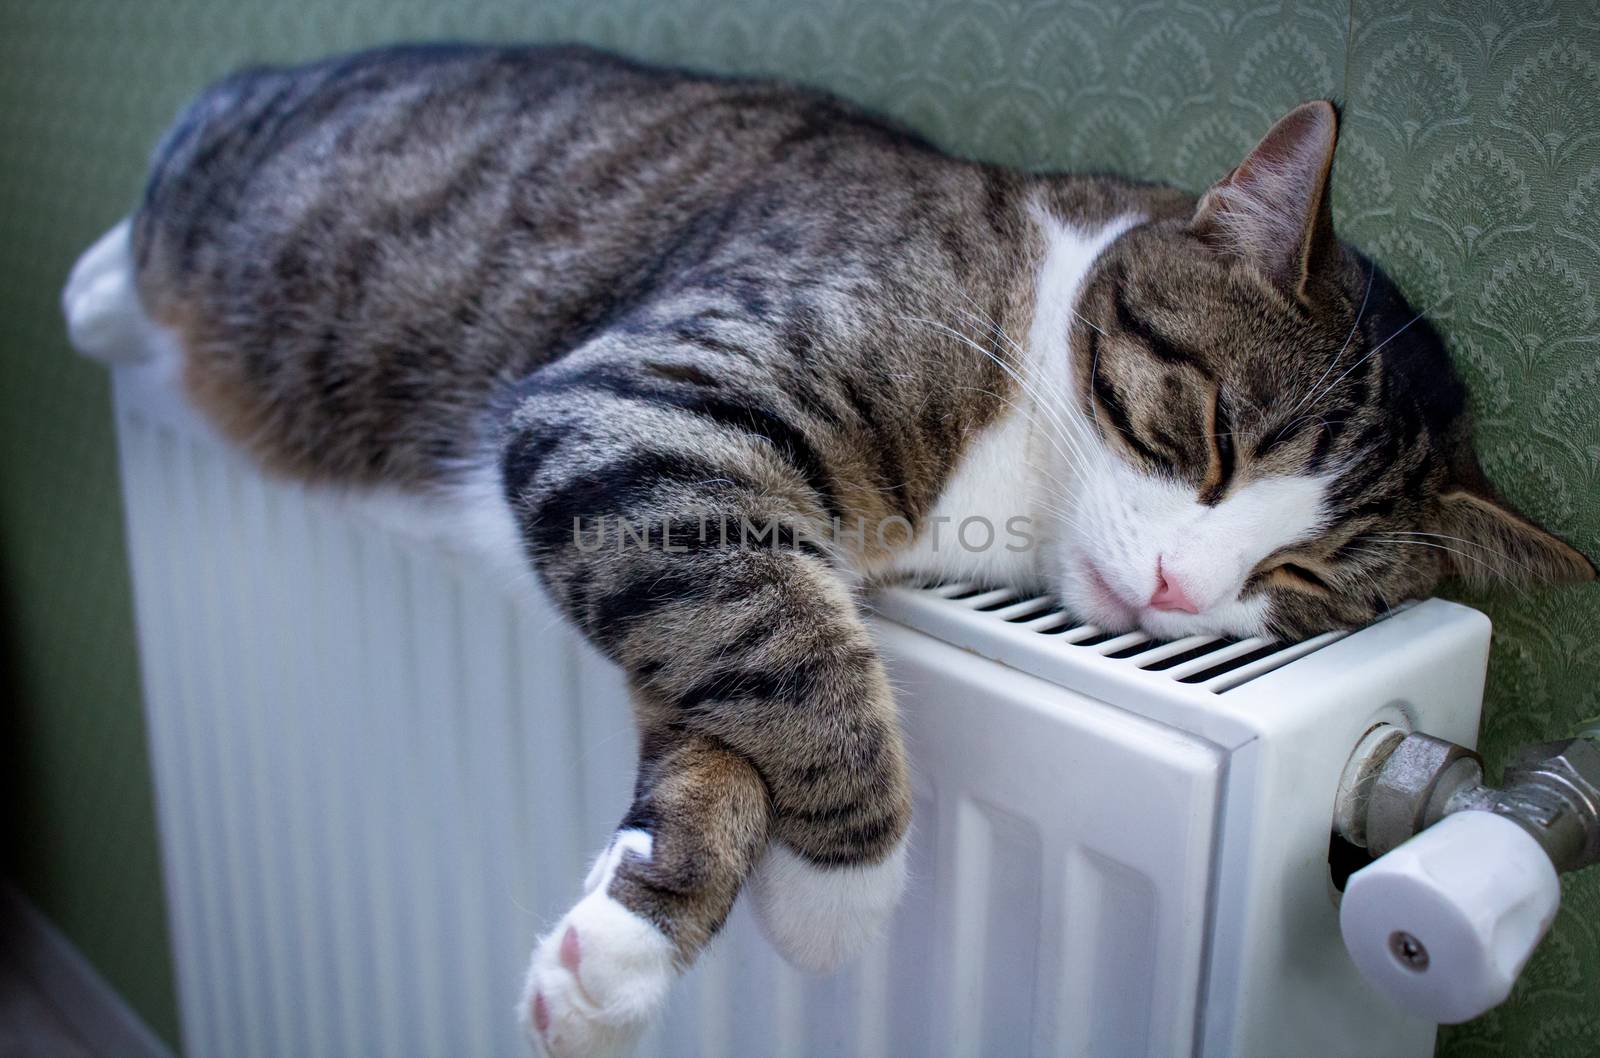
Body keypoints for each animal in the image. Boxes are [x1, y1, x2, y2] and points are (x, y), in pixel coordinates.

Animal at [59, 41, 1587, 1056]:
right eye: (1205, 435)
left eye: (1305, 577)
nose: (1176, 589)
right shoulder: (638, 412)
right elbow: (796, 661)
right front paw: (841, 897)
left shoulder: (690, 519)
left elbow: (726, 702)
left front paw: (629, 936)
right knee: (145, 227)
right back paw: (99, 291)